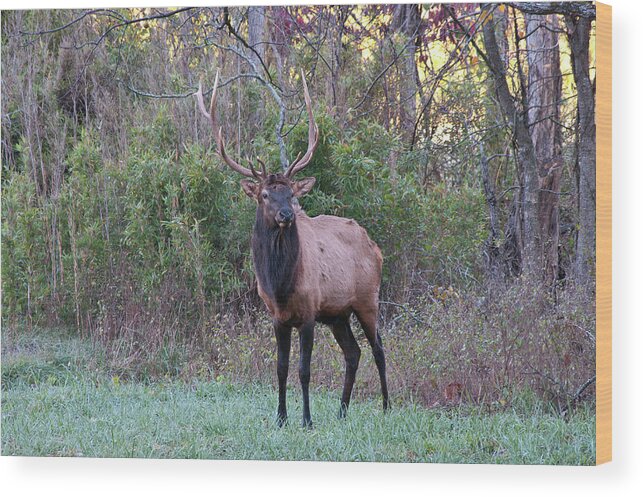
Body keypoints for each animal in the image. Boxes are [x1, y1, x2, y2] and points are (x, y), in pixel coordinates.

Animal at [195, 70, 388, 426]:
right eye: (265, 195)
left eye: (291, 193)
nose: (287, 214)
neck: (281, 284)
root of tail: (375, 246)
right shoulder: (277, 316)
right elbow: (281, 368)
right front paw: (281, 417)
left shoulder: (310, 311)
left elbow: (304, 370)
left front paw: (307, 420)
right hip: (338, 313)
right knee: (353, 353)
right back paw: (341, 411)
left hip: (368, 298)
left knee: (378, 349)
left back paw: (385, 406)